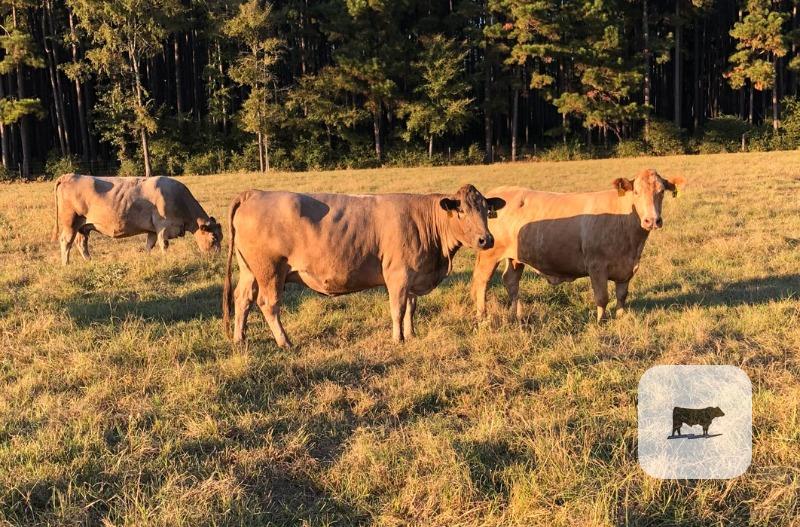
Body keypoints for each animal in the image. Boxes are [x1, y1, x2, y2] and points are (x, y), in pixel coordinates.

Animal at [53, 173, 222, 265]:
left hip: (83, 225)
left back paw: (89, 261)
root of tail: (69, 175)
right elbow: (164, 244)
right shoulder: (163, 226)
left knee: (81, 243)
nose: (218, 257)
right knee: (66, 241)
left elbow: (149, 245)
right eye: (213, 238)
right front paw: (166, 259)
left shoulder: (152, 230)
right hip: (70, 221)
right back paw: (66, 264)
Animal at [222, 185, 506, 348]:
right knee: (268, 304)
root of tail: (256, 193)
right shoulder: (398, 275)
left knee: (243, 299)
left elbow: (411, 308)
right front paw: (398, 339)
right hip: (270, 270)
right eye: (461, 211)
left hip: (249, 270)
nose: (486, 239)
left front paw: (411, 334)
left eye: (486, 210)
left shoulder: (414, 275)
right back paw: (285, 342)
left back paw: (240, 338)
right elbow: (398, 309)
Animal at [470, 169, 686, 322]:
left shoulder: (626, 268)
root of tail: (495, 194)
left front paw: (621, 316)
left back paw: (517, 314)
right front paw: (601, 321)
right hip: (490, 254)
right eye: (636, 192)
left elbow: (622, 295)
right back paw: (482, 315)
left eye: (661, 192)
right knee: (482, 282)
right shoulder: (596, 266)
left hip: (516, 257)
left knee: (511, 281)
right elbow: (602, 296)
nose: (652, 220)